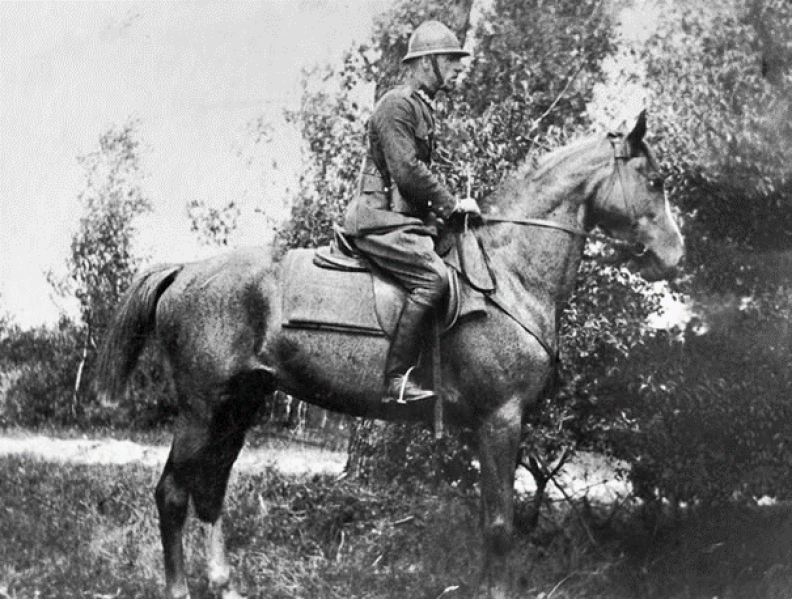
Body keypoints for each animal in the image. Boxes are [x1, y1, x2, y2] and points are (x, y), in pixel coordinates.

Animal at [97, 110, 680, 596]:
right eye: (655, 181)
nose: (675, 255)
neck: (509, 272)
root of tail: (185, 270)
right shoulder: (500, 419)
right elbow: (498, 525)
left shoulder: (492, 425)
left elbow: (489, 520)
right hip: (201, 408)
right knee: (172, 494)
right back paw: (180, 588)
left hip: (238, 406)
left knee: (211, 488)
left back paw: (225, 584)